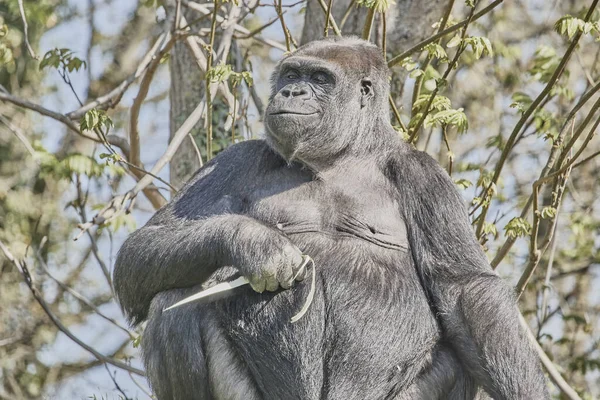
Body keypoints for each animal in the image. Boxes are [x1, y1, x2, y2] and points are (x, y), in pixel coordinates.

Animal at [112, 38, 548, 400]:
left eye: (320, 78)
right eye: (291, 75)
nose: (292, 92)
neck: (346, 152)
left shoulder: (426, 177)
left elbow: (464, 292)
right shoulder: (238, 157)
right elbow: (144, 248)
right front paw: (256, 245)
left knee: (460, 352)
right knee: (173, 302)